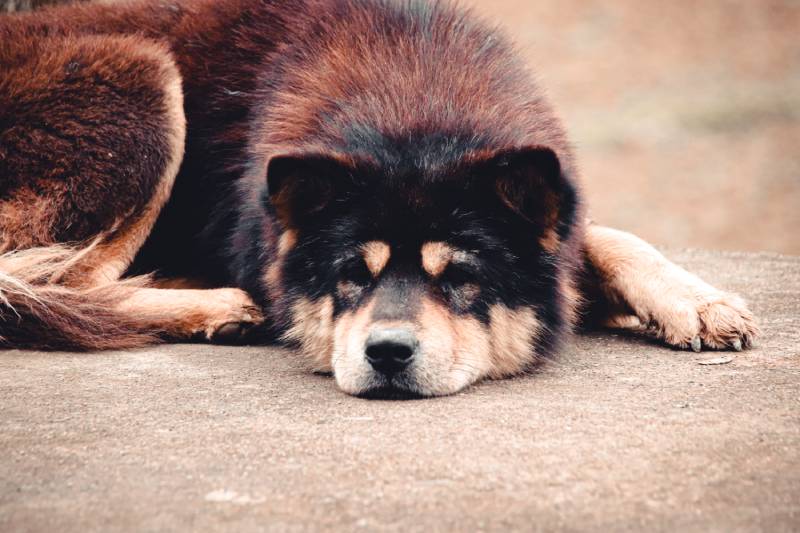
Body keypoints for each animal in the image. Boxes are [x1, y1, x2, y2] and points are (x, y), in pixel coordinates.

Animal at [0, 0, 756, 396]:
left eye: (461, 279)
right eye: (350, 276)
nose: (388, 353)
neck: (414, 112)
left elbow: (602, 236)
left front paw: (694, 300)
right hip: (142, 87)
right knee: (57, 282)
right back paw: (213, 305)